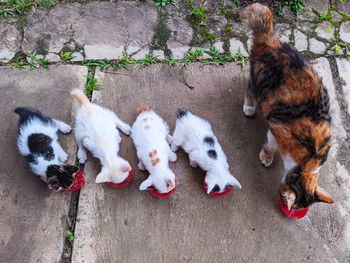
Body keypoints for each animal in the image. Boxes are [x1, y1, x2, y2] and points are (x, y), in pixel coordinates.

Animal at [241, 3, 334, 210]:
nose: (291, 210)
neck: (308, 162)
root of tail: (270, 39)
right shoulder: (277, 131)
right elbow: (270, 145)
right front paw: (266, 158)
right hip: (259, 79)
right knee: (250, 89)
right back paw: (249, 107)